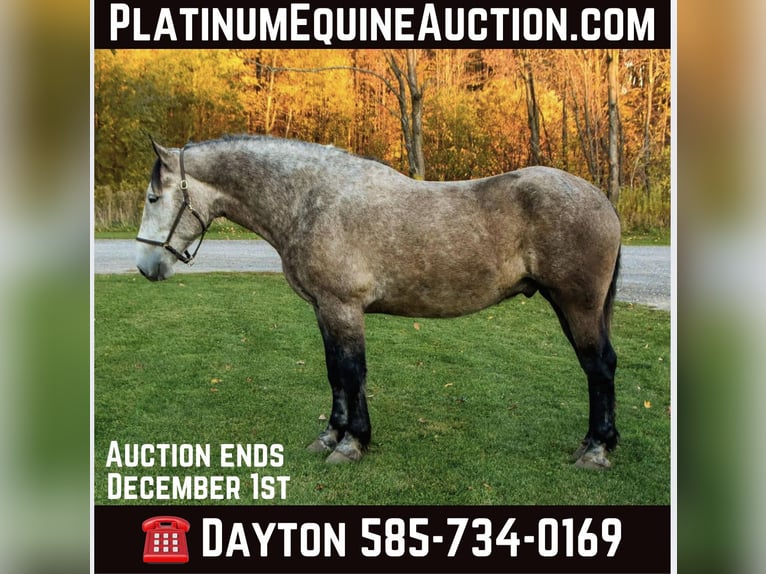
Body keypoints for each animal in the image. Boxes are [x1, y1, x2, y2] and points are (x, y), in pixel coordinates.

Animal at [136, 135, 622, 469]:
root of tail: (602, 200)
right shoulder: (324, 309)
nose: (145, 266)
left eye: (154, 197)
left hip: (578, 304)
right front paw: (330, 436)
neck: (310, 199)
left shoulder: (343, 307)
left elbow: (352, 372)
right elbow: (336, 374)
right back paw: (595, 441)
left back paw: (596, 450)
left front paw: (352, 444)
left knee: (598, 367)